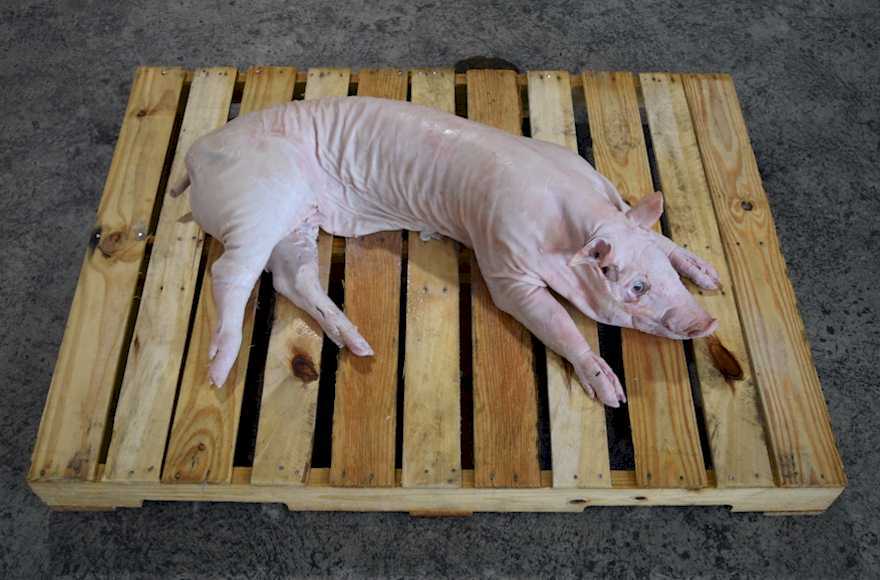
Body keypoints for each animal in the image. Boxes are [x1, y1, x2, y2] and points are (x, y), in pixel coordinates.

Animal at [174, 96, 720, 408]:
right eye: (635, 285)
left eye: (662, 273)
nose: (707, 321)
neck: (572, 221)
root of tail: (195, 154)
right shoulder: (501, 259)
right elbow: (553, 322)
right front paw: (612, 396)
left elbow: (658, 235)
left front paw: (709, 276)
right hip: (255, 201)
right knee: (230, 271)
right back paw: (218, 372)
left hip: (296, 221)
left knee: (292, 277)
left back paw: (360, 345)